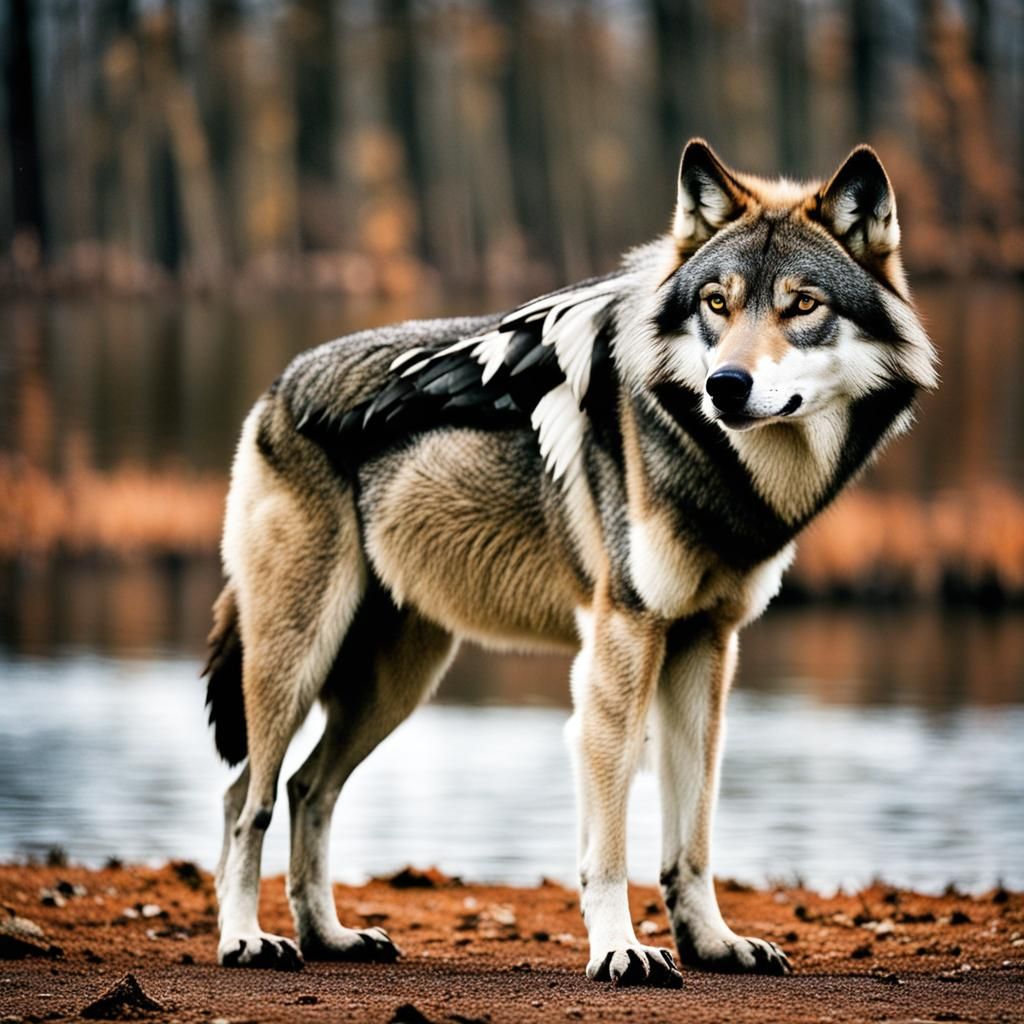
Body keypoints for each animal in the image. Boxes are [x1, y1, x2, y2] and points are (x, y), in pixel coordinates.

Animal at [203, 140, 937, 986]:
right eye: (716, 304)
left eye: (803, 305)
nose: (726, 385)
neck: (714, 462)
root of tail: (277, 387)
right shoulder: (619, 648)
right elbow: (609, 847)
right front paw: (621, 949)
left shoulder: (706, 647)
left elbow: (692, 837)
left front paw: (714, 944)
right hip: (295, 661)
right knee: (246, 797)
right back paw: (244, 939)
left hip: (395, 685)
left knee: (306, 788)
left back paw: (331, 937)